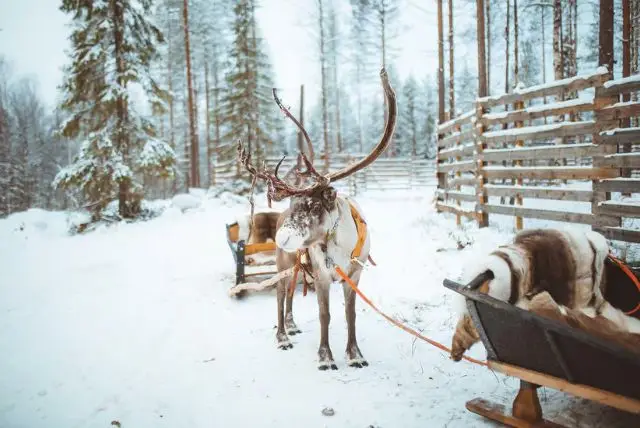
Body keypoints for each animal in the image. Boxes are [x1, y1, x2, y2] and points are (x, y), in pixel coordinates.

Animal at [237, 68, 397, 370]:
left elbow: (350, 314)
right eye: (293, 204)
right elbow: (325, 315)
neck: (341, 243)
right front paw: (326, 357)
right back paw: (283, 336)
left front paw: (355, 354)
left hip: (297, 265)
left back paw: (291, 324)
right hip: (283, 262)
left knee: (289, 294)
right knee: (280, 294)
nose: (282, 238)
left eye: (313, 205)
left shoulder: (354, 275)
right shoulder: (322, 275)